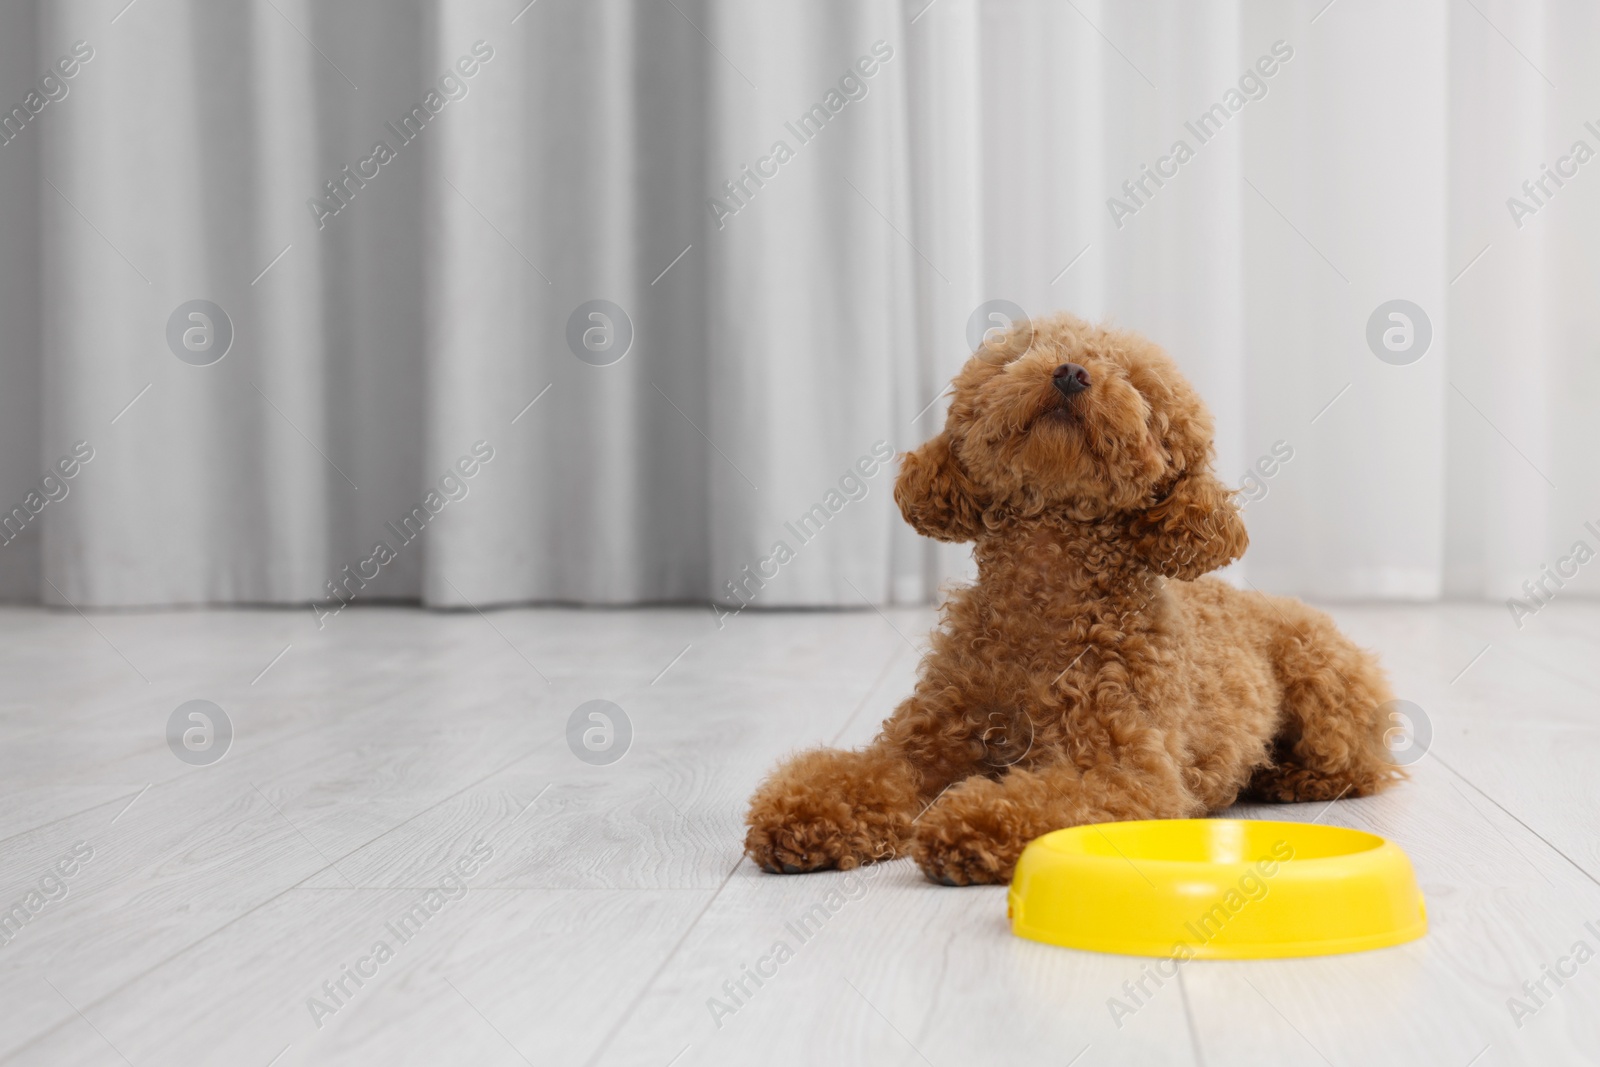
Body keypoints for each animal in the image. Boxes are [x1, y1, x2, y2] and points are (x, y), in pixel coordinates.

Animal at [739, 315, 1401, 883]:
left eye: (1136, 384)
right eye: (1022, 354)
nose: (1071, 372)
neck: (1046, 594)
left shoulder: (1127, 775)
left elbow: (1052, 799)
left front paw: (971, 824)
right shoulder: (924, 742)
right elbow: (865, 774)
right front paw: (804, 814)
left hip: (1322, 683)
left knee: (1362, 764)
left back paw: (1287, 776)